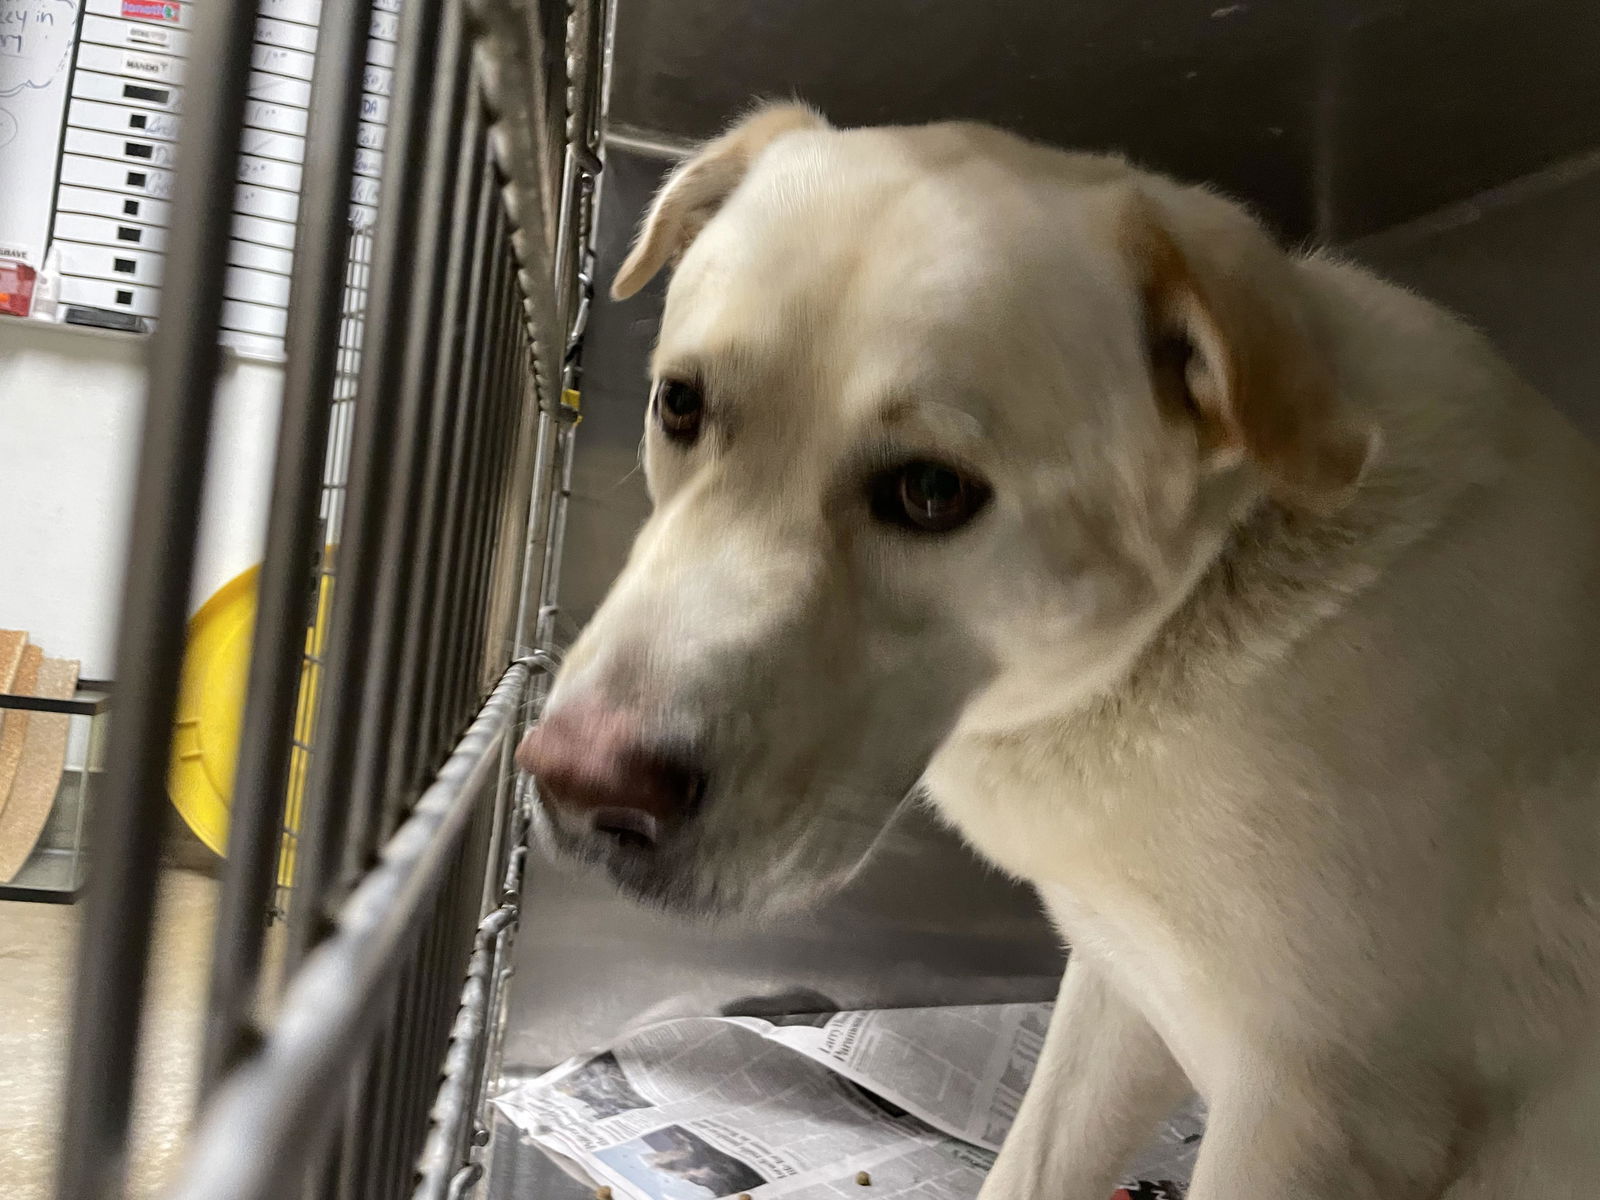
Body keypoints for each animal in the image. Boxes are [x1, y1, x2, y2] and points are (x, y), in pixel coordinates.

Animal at [521, 105, 1600, 1200]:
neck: (1186, 621)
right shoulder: (1118, 992)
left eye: (931, 492)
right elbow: (1031, 1165)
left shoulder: (1314, 1119)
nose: (577, 779)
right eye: (680, 406)